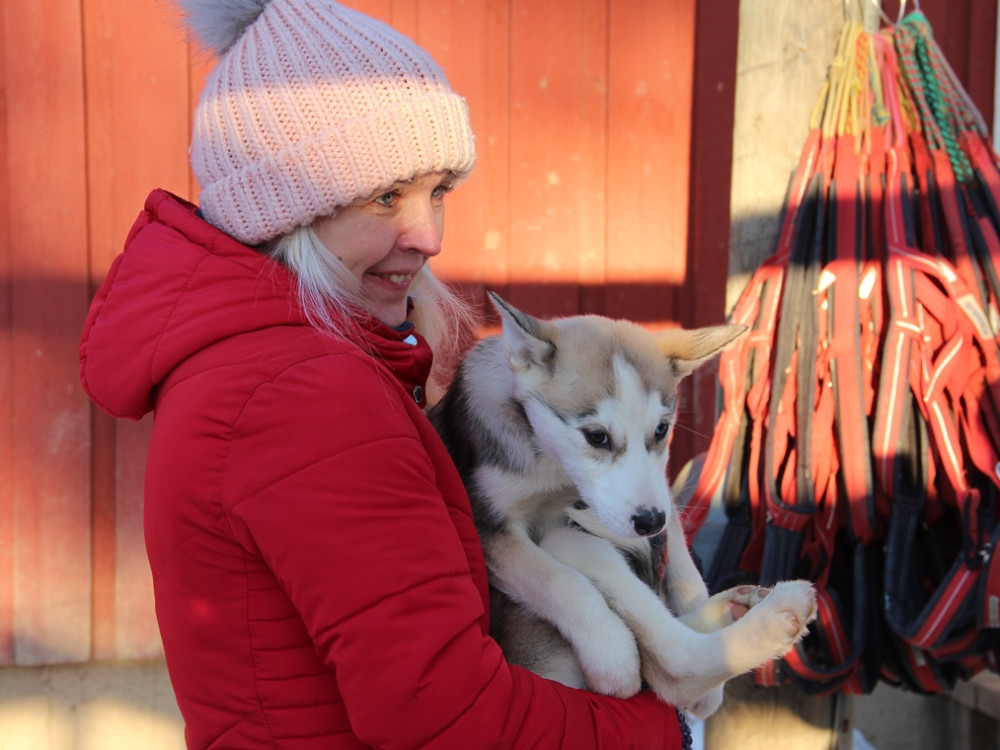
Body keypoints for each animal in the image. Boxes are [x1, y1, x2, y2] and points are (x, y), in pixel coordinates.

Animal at [428, 292, 812, 716]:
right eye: (596, 436)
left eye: (661, 430)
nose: (649, 523)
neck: (555, 469)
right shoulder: (488, 524)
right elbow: (553, 578)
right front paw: (611, 654)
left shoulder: (658, 491)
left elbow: (685, 570)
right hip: (572, 542)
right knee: (674, 663)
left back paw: (733, 609)